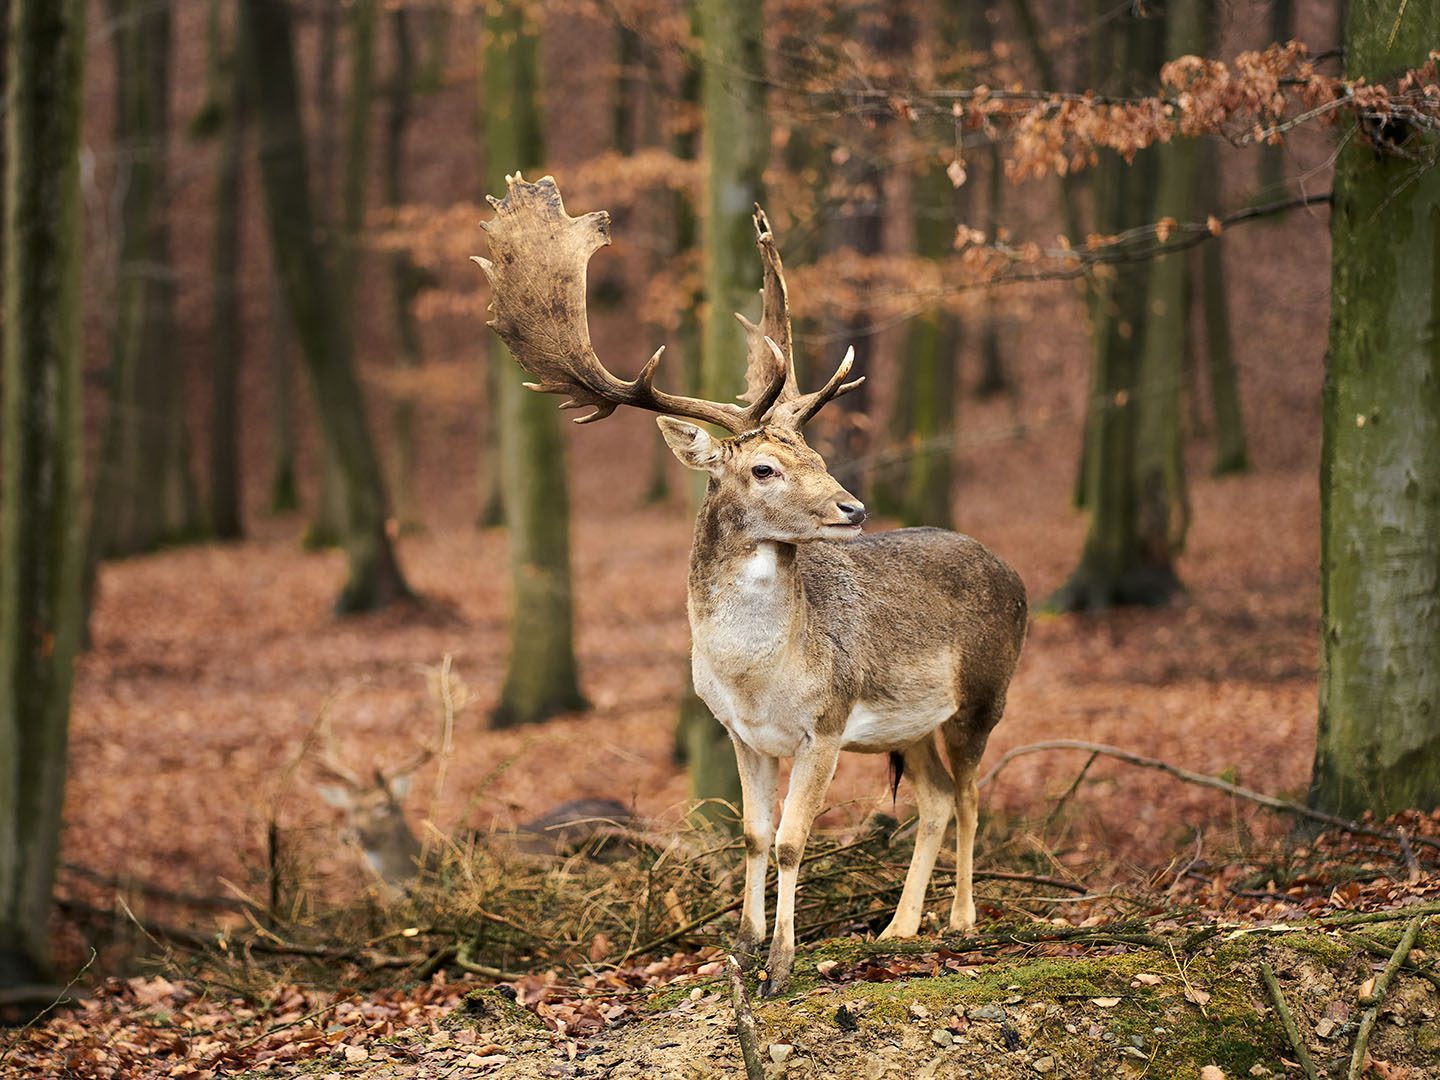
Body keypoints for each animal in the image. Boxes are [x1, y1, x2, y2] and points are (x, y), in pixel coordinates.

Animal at [478, 177, 1031, 996]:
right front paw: (740, 950)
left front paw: (781, 966)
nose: (853, 507)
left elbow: (798, 841)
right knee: (933, 799)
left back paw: (960, 921)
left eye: (818, 454)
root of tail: (1016, 574)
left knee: (968, 793)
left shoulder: (826, 721)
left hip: (986, 693)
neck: (756, 675)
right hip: (910, 724)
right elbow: (753, 836)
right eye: (765, 467)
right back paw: (898, 928)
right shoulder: (741, 733)